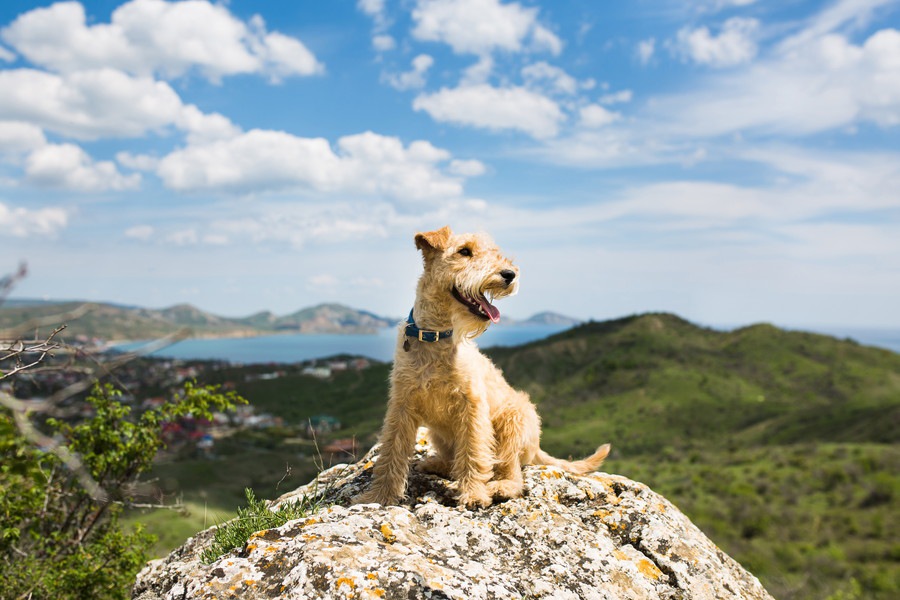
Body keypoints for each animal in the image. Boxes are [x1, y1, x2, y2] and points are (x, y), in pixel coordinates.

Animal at [354, 227, 612, 508]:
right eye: (464, 251)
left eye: (494, 252)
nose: (510, 274)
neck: (437, 336)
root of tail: (536, 447)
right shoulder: (401, 405)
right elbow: (391, 453)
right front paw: (379, 496)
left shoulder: (472, 406)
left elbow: (473, 452)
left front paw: (474, 494)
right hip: (439, 434)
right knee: (454, 460)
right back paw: (435, 463)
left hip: (514, 423)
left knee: (511, 471)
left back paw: (501, 486)